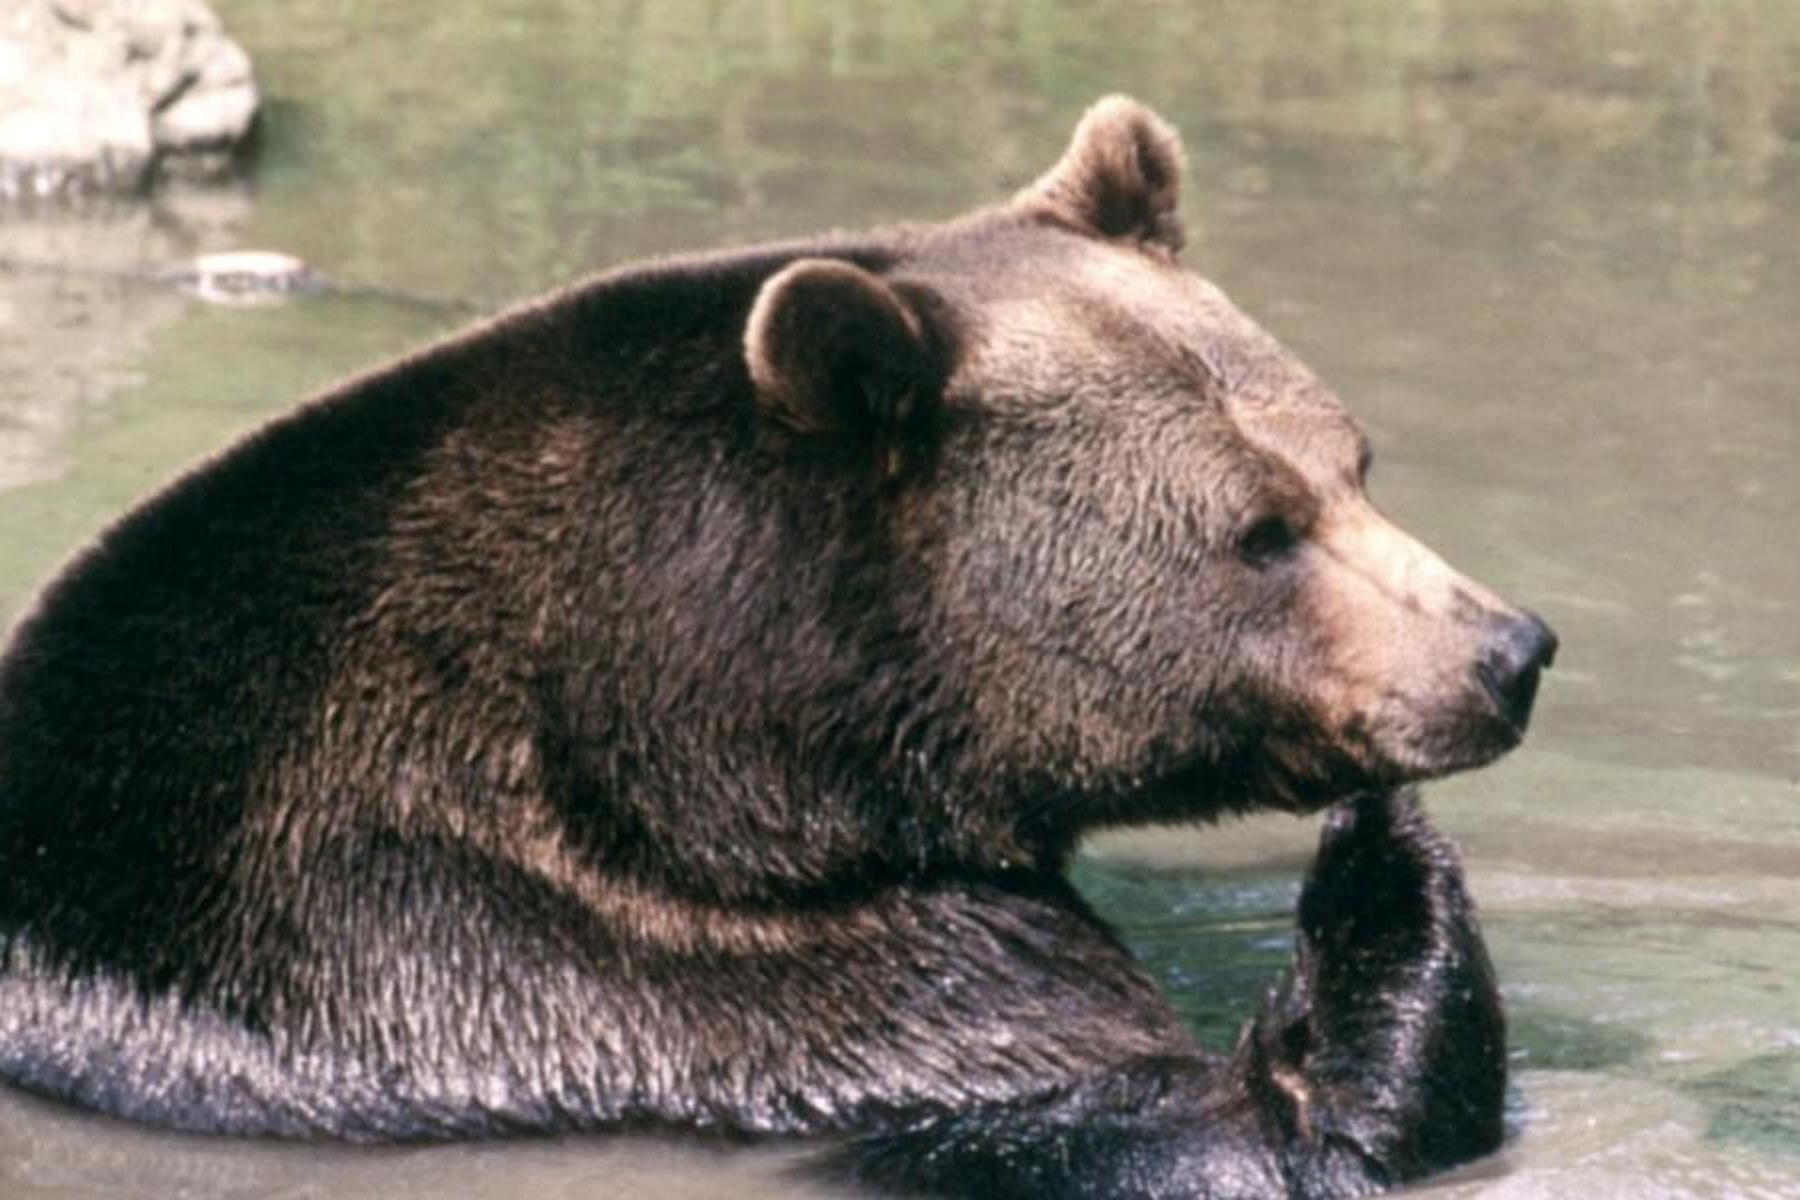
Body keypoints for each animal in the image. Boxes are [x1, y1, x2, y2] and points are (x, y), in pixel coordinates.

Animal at [0, 96, 1556, 1198]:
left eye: (1355, 463)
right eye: (1259, 530)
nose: (1508, 649)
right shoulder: (587, 986)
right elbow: (1221, 1118)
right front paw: (1381, 868)